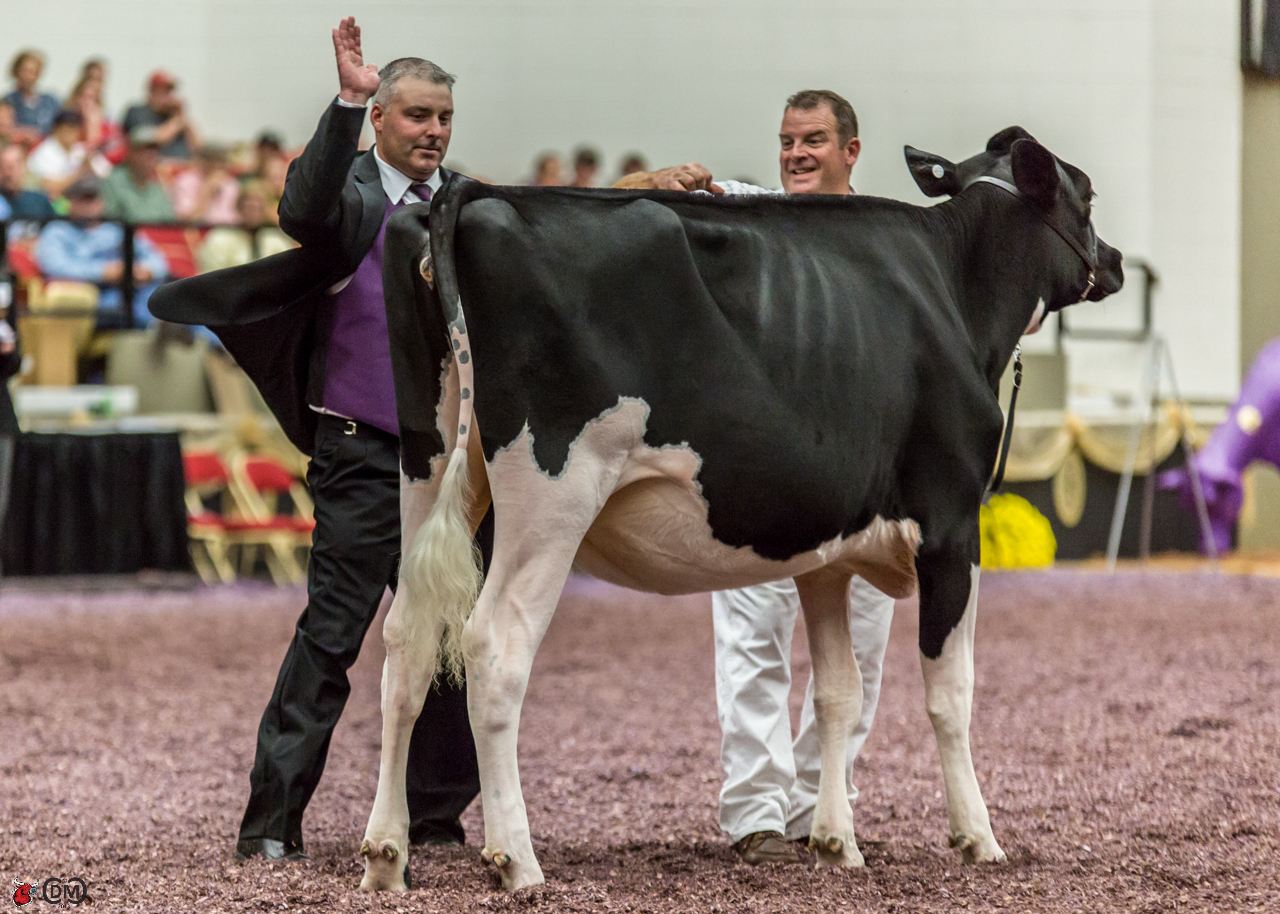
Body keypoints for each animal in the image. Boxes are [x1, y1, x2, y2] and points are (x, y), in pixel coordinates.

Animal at [356, 126, 1124, 892]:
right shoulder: (952, 528)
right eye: (1086, 195)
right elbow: (950, 693)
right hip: (553, 493)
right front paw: (977, 837)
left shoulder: (827, 553)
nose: (1115, 262)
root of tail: (472, 193)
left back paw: (387, 855)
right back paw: (515, 857)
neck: (956, 289)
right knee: (494, 646)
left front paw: (836, 843)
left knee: (405, 643)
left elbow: (836, 694)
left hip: (430, 467)